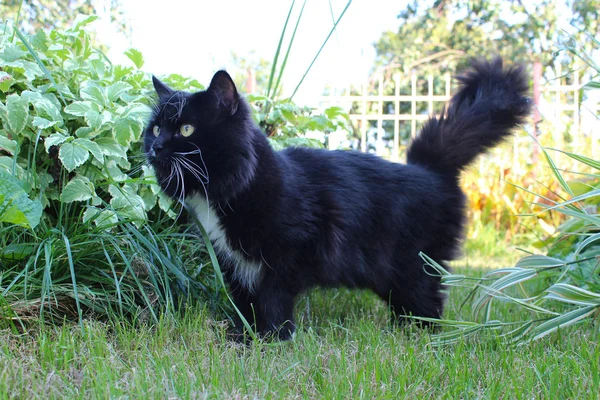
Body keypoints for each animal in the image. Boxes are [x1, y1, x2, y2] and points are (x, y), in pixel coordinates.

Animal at [144, 57, 528, 340]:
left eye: (186, 129)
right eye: (156, 128)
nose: (155, 146)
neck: (232, 189)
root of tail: (430, 169)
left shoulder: (281, 261)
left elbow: (272, 304)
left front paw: (271, 341)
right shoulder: (234, 263)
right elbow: (245, 305)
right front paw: (242, 338)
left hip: (414, 266)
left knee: (429, 305)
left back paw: (422, 338)